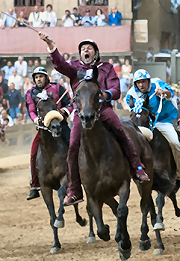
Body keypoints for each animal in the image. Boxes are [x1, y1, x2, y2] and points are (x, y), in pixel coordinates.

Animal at [35, 93, 86, 252]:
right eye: (39, 109)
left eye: (55, 106)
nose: (56, 127)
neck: (50, 154)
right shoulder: (44, 187)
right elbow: (51, 215)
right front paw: (56, 244)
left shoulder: (65, 177)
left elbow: (61, 195)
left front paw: (60, 219)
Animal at [74, 66, 163, 258]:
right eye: (76, 94)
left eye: (98, 93)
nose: (87, 117)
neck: (97, 155)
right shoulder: (94, 193)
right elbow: (101, 227)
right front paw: (113, 234)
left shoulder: (123, 184)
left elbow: (123, 211)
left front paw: (126, 245)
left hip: (146, 178)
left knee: (144, 204)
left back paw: (144, 239)